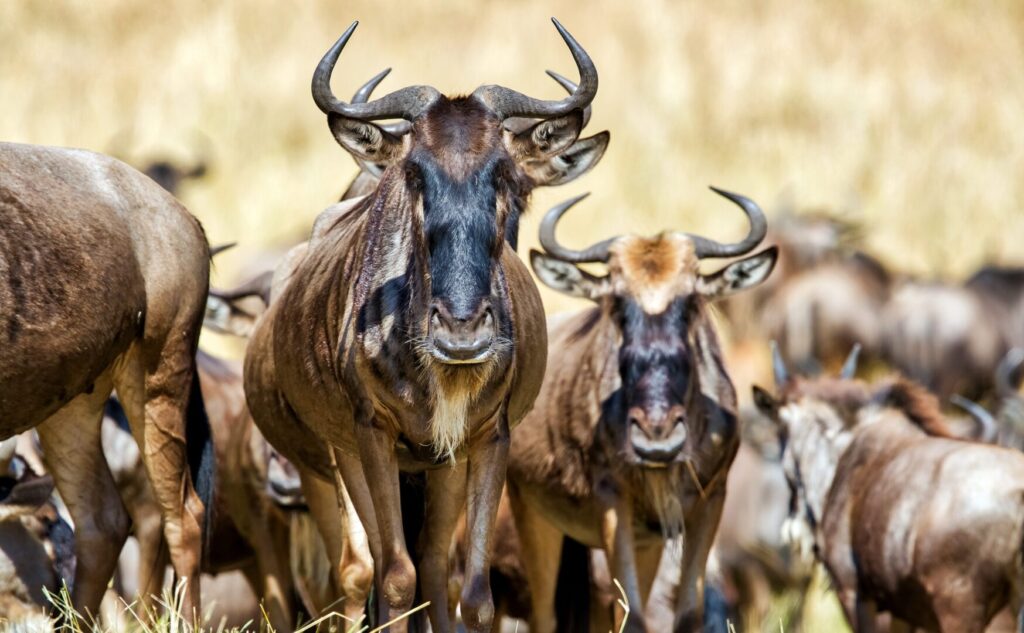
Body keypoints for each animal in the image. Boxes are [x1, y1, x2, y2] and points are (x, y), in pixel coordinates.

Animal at [244, 19, 604, 632]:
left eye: (504, 174)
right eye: (413, 173)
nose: (462, 335)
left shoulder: (485, 439)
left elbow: (473, 592)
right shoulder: (372, 435)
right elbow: (393, 576)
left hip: (437, 470)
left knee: (434, 564)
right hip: (335, 460)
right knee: (365, 570)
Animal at [507, 190, 777, 632]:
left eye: (691, 302)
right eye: (617, 304)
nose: (656, 439)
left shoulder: (708, 504)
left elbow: (687, 613)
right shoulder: (612, 503)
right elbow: (633, 615)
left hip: (645, 541)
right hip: (536, 517)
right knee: (545, 615)